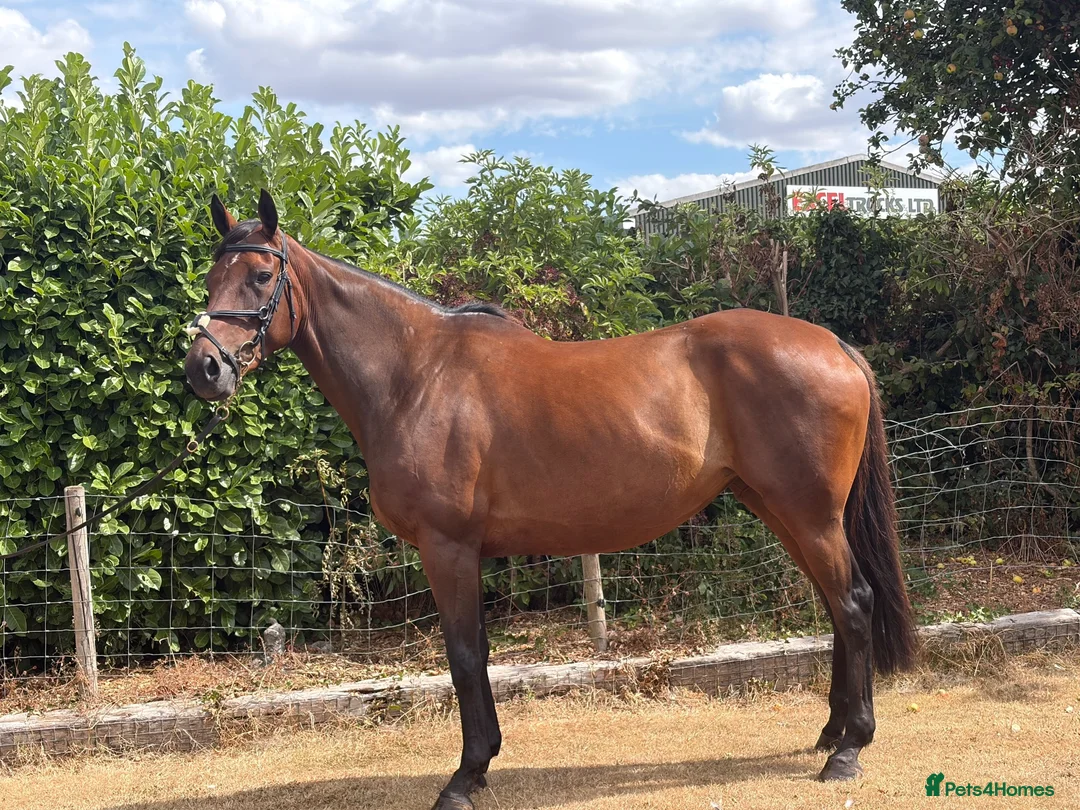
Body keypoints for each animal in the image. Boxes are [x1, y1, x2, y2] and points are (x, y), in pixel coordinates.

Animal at [184, 190, 916, 809]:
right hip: (781, 510)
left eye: (259, 277)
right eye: (211, 278)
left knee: (853, 604)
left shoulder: (448, 548)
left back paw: (848, 750)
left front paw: (466, 776)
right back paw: (830, 733)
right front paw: (482, 762)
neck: (416, 375)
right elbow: (475, 653)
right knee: (836, 608)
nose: (203, 370)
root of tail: (832, 344)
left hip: (808, 515)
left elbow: (464, 655)